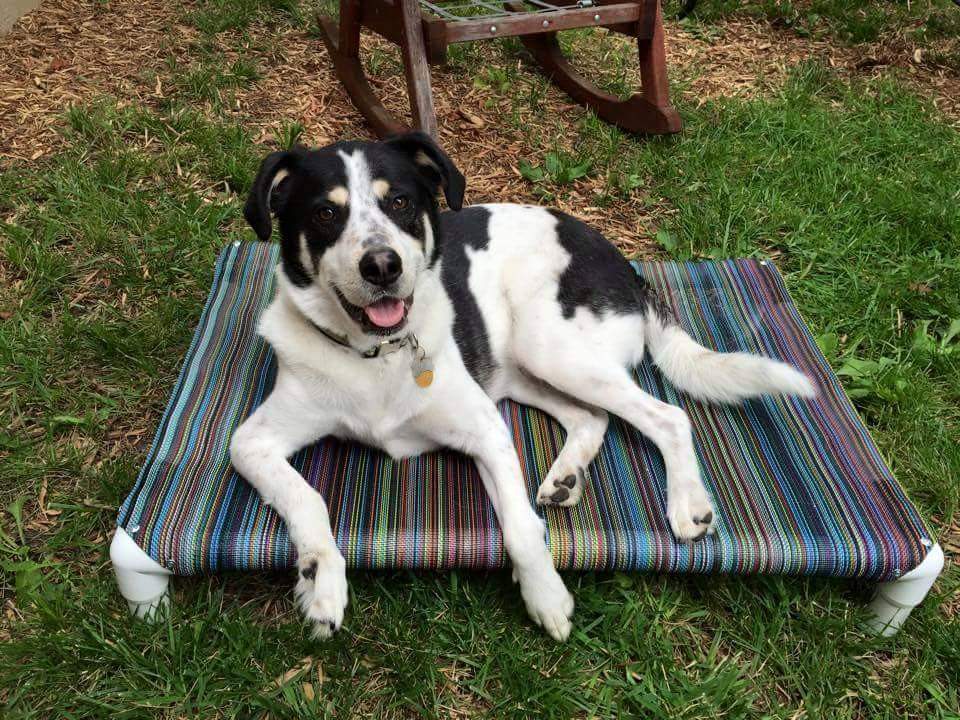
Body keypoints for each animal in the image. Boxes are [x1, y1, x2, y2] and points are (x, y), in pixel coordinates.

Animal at [229, 132, 812, 640]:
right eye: (325, 213)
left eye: (398, 202)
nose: (382, 265)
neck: (378, 354)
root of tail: (624, 264)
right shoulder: (250, 444)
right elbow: (307, 498)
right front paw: (321, 581)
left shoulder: (487, 431)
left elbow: (520, 527)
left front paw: (546, 595)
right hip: (519, 369)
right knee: (592, 416)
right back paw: (567, 477)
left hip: (549, 347)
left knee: (669, 416)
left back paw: (687, 504)